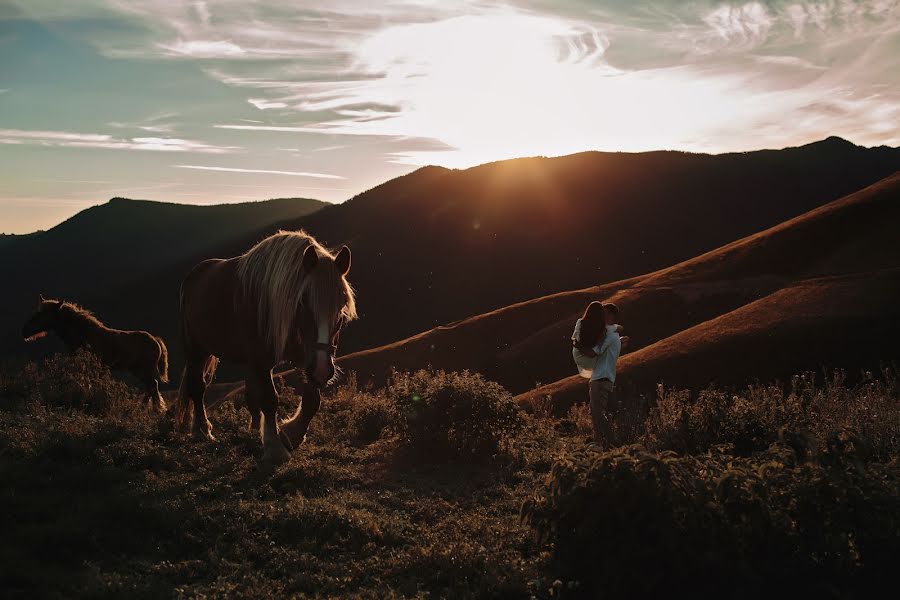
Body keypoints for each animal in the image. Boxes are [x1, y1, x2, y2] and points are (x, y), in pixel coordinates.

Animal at [22, 296, 171, 412]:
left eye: (43, 314)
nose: (24, 331)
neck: (83, 334)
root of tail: (155, 340)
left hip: (143, 370)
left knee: (152, 386)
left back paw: (150, 409)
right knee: (152, 387)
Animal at [174, 230, 356, 464]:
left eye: (342, 305)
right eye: (303, 302)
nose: (324, 371)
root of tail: (194, 275)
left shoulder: (308, 357)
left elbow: (312, 400)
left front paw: (292, 433)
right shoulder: (263, 361)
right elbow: (270, 399)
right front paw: (275, 446)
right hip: (196, 350)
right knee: (197, 387)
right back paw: (202, 430)